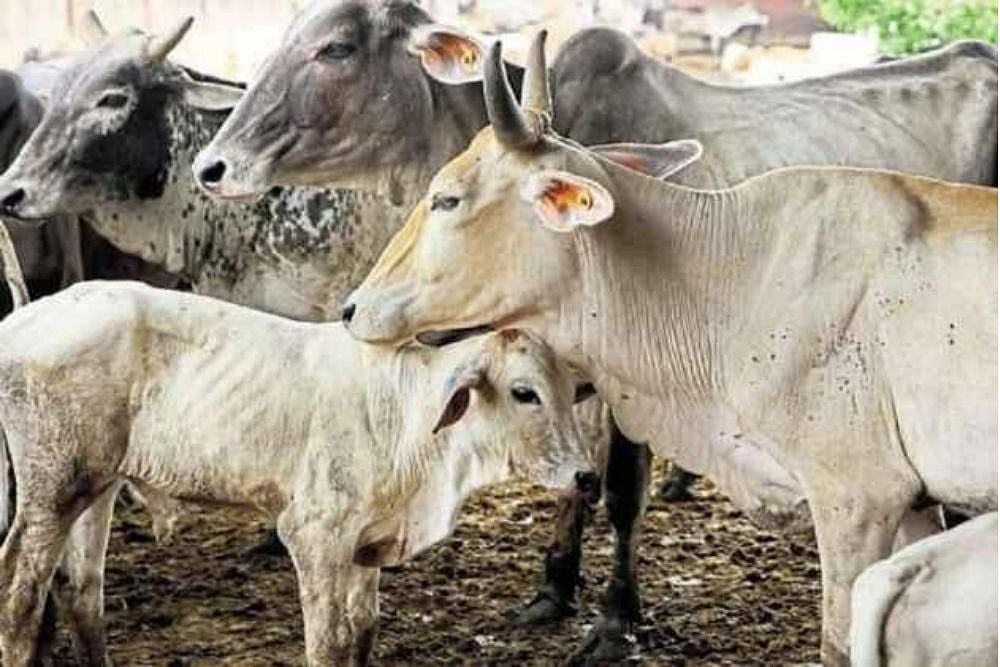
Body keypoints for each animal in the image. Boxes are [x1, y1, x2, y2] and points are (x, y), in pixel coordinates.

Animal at [0, 280, 594, 666]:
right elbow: (329, 644)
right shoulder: (314, 535)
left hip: (96, 485)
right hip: (51, 487)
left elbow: (363, 630)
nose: (587, 477)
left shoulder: (367, 545)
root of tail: (22, 320)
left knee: (81, 591)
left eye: (570, 391)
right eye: (524, 392)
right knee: (20, 596)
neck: (403, 413)